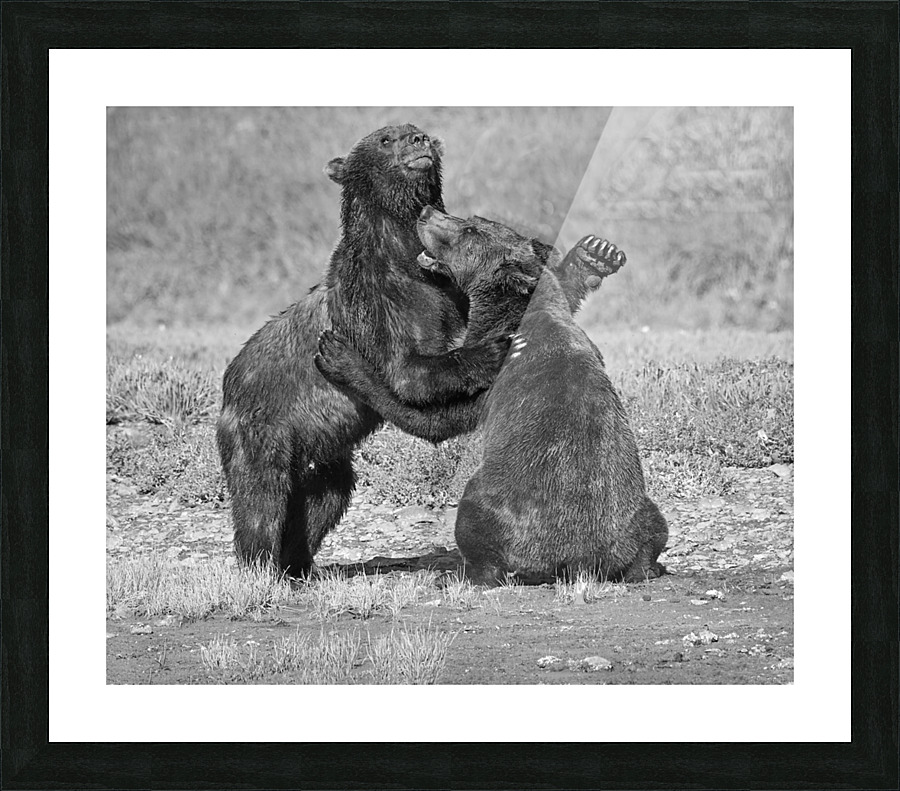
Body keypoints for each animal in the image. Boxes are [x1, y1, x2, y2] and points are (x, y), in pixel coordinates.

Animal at [217, 125, 512, 577]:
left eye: (416, 130)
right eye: (386, 139)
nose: (418, 138)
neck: (403, 252)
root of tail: (228, 387)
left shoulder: (445, 293)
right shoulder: (373, 300)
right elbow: (408, 372)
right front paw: (490, 350)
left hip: (320, 451)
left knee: (324, 498)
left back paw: (299, 567)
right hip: (263, 430)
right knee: (262, 498)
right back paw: (261, 567)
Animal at [315, 207, 668, 586]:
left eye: (470, 230)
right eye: (471, 218)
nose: (427, 212)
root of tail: (581, 563)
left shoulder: (490, 379)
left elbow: (432, 418)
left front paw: (338, 354)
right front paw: (593, 254)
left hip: (508, 510)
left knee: (475, 519)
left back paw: (461, 571)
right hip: (633, 515)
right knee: (654, 526)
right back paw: (651, 565)